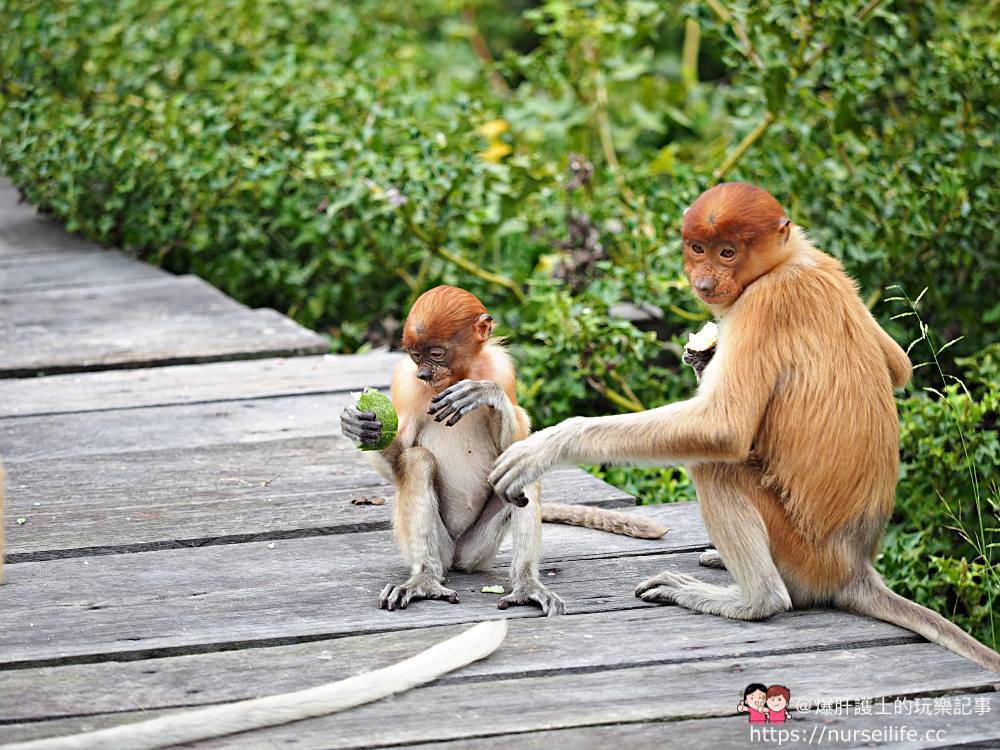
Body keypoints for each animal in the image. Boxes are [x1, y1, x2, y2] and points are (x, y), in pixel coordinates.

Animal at [342, 286, 664, 616]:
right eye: (415, 356)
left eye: (436, 353)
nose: (424, 375)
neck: (459, 374)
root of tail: (456, 555)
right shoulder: (405, 383)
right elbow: (399, 456)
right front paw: (360, 426)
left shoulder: (501, 368)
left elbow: (516, 440)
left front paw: (484, 393)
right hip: (439, 546)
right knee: (418, 460)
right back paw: (424, 581)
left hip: (479, 548)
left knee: (520, 472)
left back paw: (526, 586)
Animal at [488, 184, 1000, 676]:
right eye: (698, 248)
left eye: (728, 252)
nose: (705, 282)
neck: (785, 263)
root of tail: (852, 567)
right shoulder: (827, 261)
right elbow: (899, 367)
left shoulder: (761, 306)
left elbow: (723, 428)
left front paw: (544, 448)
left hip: (799, 548)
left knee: (716, 465)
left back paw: (750, 600)